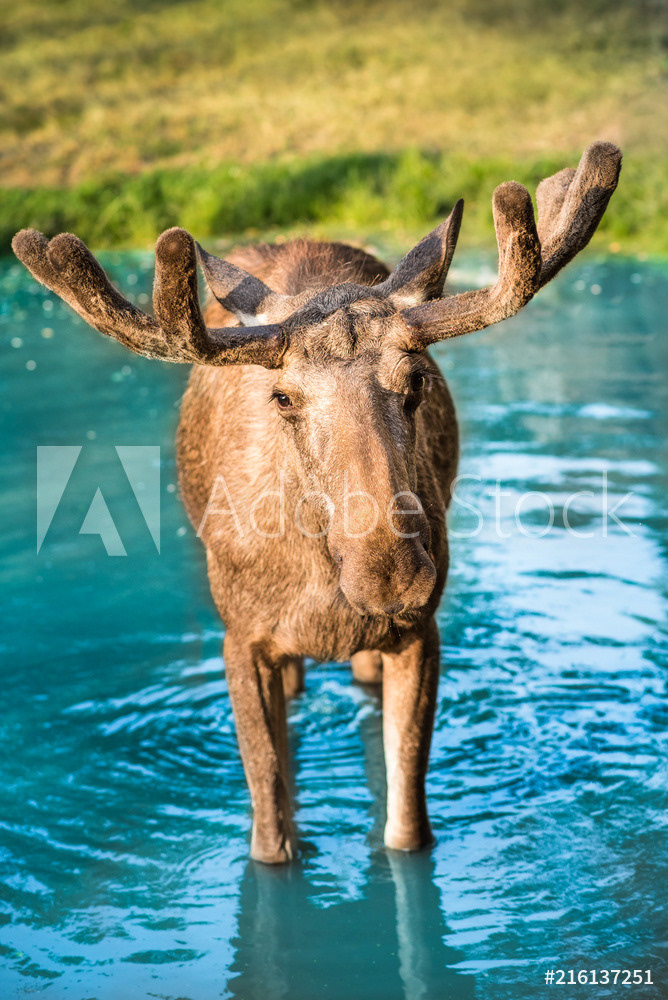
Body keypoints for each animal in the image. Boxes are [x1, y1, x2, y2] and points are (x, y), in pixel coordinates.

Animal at [13, 141, 621, 864]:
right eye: (282, 397)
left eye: (417, 380)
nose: (391, 574)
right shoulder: (241, 637)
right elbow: (270, 828)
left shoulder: (421, 633)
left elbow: (406, 826)